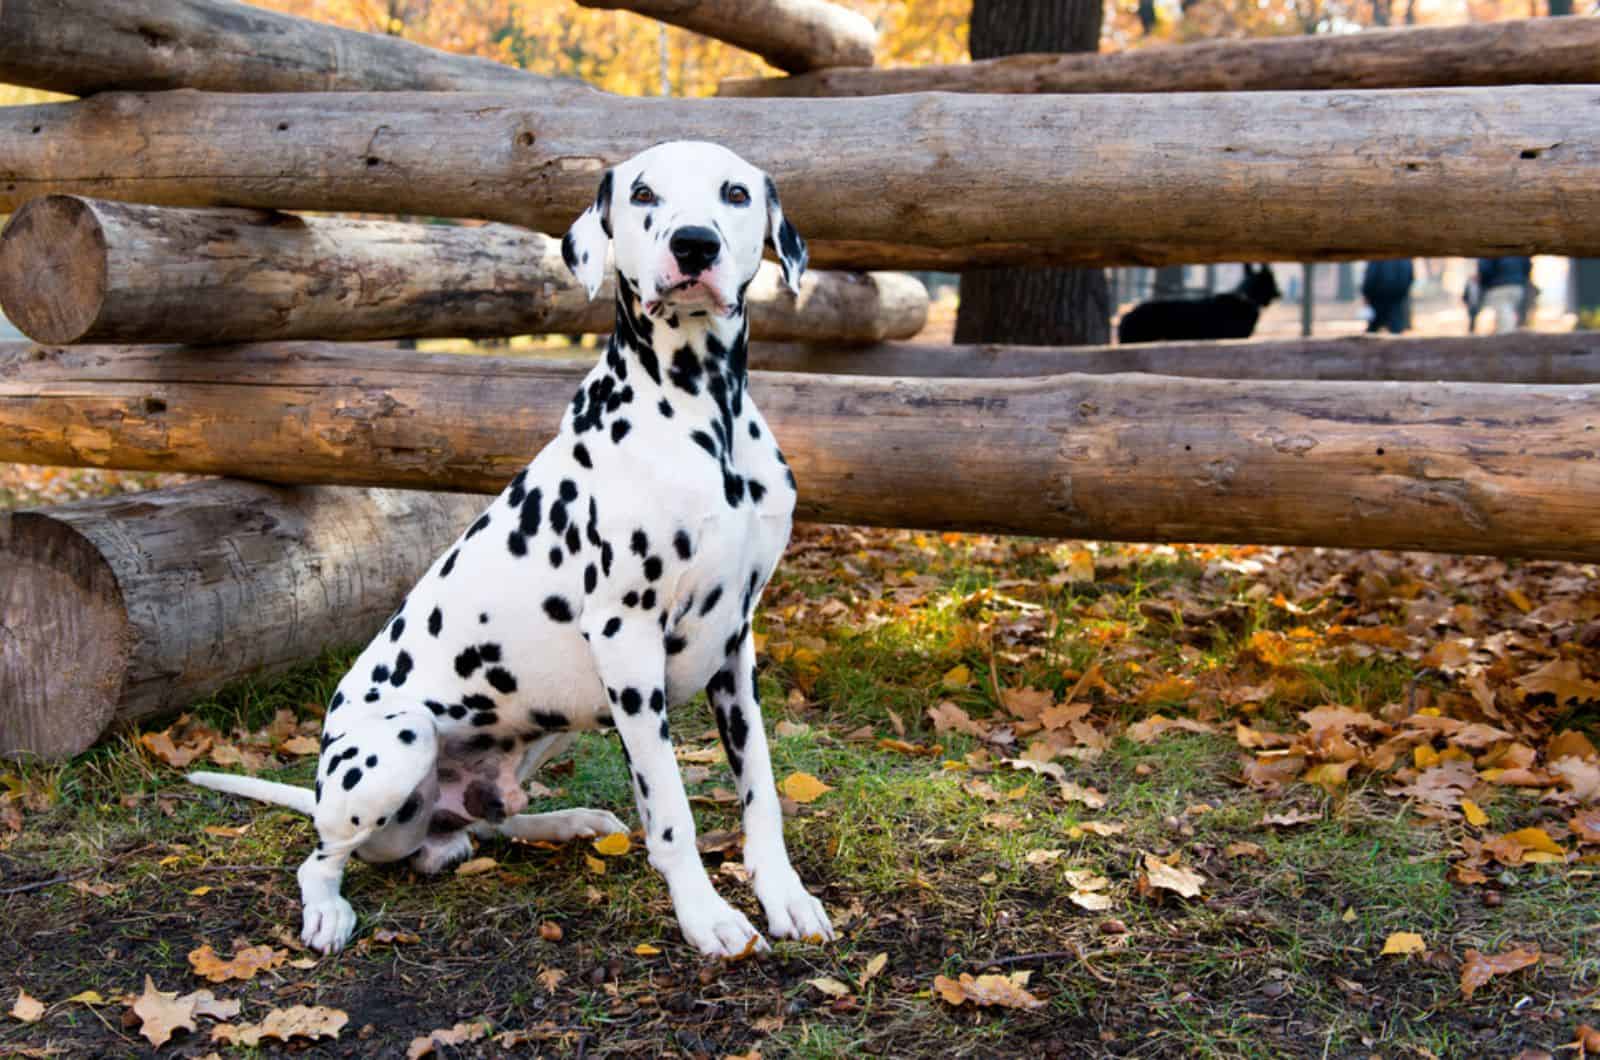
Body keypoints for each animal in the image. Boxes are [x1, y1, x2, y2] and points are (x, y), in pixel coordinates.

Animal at [193, 140, 832, 960]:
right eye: (645, 193)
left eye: (735, 193)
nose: (695, 245)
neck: (704, 417)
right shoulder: (627, 640)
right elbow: (671, 812)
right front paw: (707, 916)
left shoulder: (735, 646)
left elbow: (760, 792)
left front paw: (785, 897)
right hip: (396, 744)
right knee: (321, 857)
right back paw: (329, 908)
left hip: (549, 722)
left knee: (488, 819)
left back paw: (565, 823)